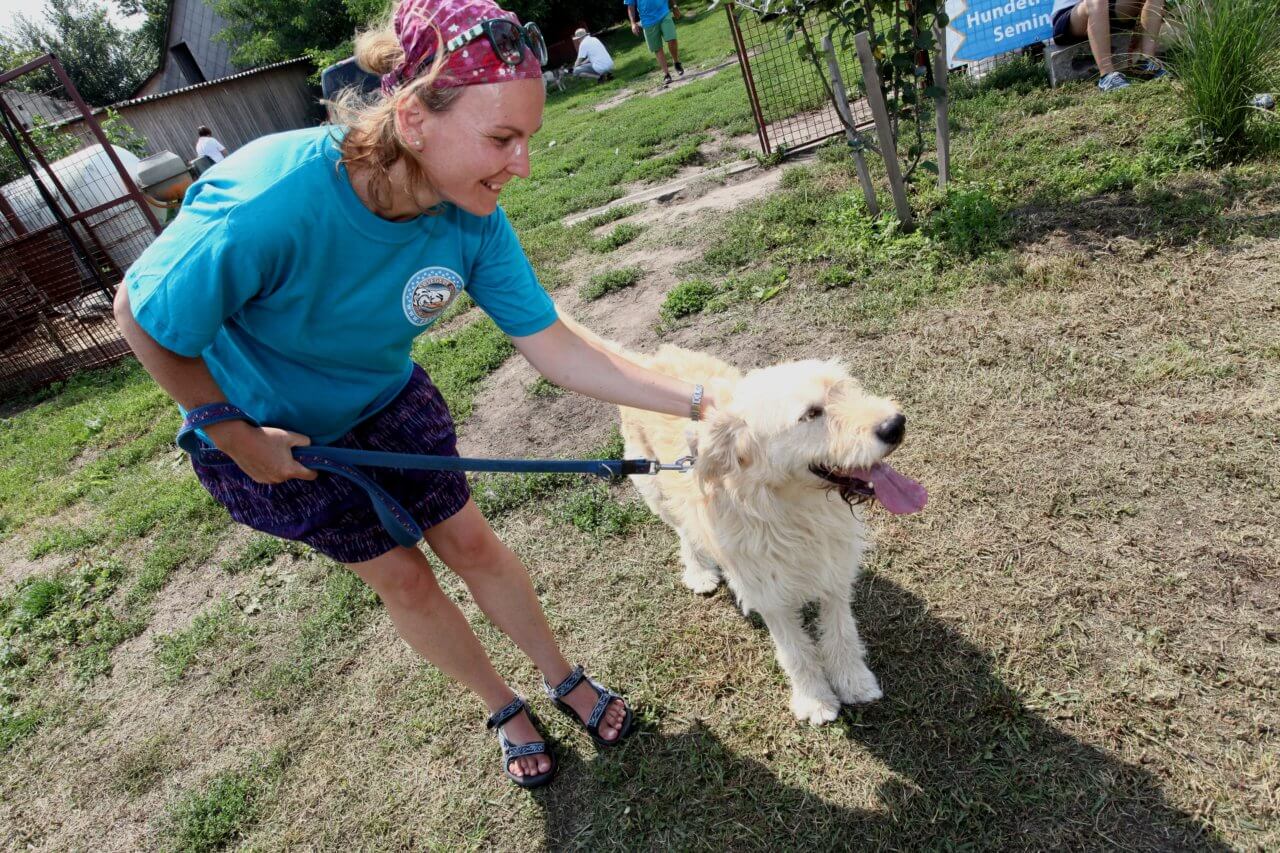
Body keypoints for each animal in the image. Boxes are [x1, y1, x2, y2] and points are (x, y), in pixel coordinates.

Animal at [618, 345, 927, 725]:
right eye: (811, 414)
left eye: (843, 390)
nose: (895, 424)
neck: (794, 510)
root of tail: (649, 359)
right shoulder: (768, 592)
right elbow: (795, 650)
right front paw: (815, 700)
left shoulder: (834, 569)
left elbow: (841, 631)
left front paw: (853, 682)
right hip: (653, 485)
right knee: (684, 530)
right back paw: (699, 571)